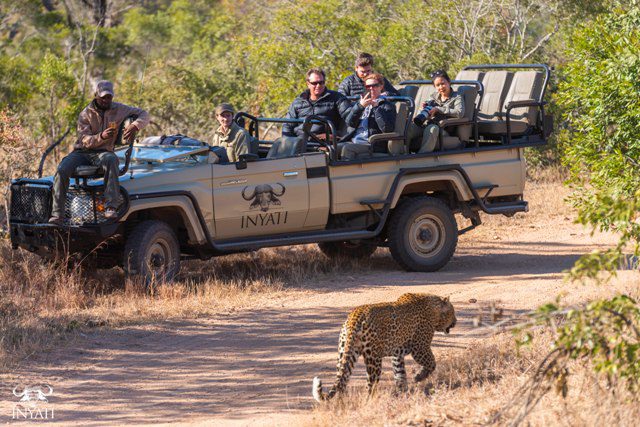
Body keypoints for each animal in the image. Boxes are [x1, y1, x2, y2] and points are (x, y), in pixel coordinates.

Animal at [314, 294, 456, 402]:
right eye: (453, 312)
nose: (456, 322)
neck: (435, 308)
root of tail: (355, 316)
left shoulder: (397, 354)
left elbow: (400, 374)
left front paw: (403, 393)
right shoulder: (420, 348)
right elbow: (432, 363)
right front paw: (418, 377)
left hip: (345, 352)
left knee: (342, 380)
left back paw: (341, 404)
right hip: (374, 358)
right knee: (370, 385)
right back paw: (370, 402)